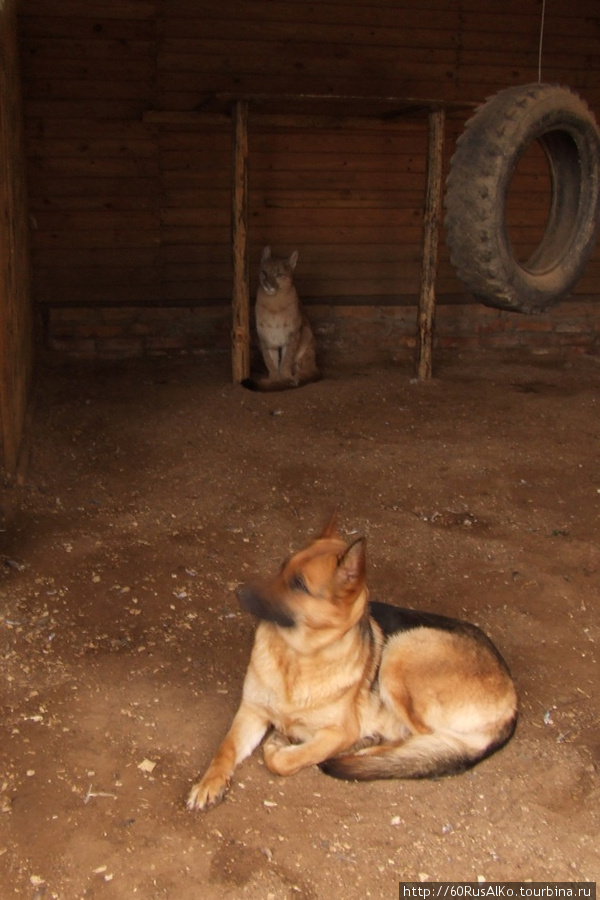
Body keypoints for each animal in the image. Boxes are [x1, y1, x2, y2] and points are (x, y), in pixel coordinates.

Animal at [186, 516, 516, 812]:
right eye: (282, 567)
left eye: (299, 584)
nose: (238, 592)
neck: (296, 656)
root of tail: (512, 700)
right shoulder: (251, 712)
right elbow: (225, 749)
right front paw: (208, 784)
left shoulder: (338, 732)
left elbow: (284, 761)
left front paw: (280, 746)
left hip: (401, 652)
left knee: (423, 738)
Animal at [241, 246, 322, 390]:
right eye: (264, 272)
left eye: (278, 274)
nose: (267, 284)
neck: (274, 303)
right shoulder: (265, 337)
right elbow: (270, 361)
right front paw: (274, 379)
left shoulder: (292, 334)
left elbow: (287, 359)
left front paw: (286, 377)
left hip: (306, 333)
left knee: (309, 371)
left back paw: (297, 377)